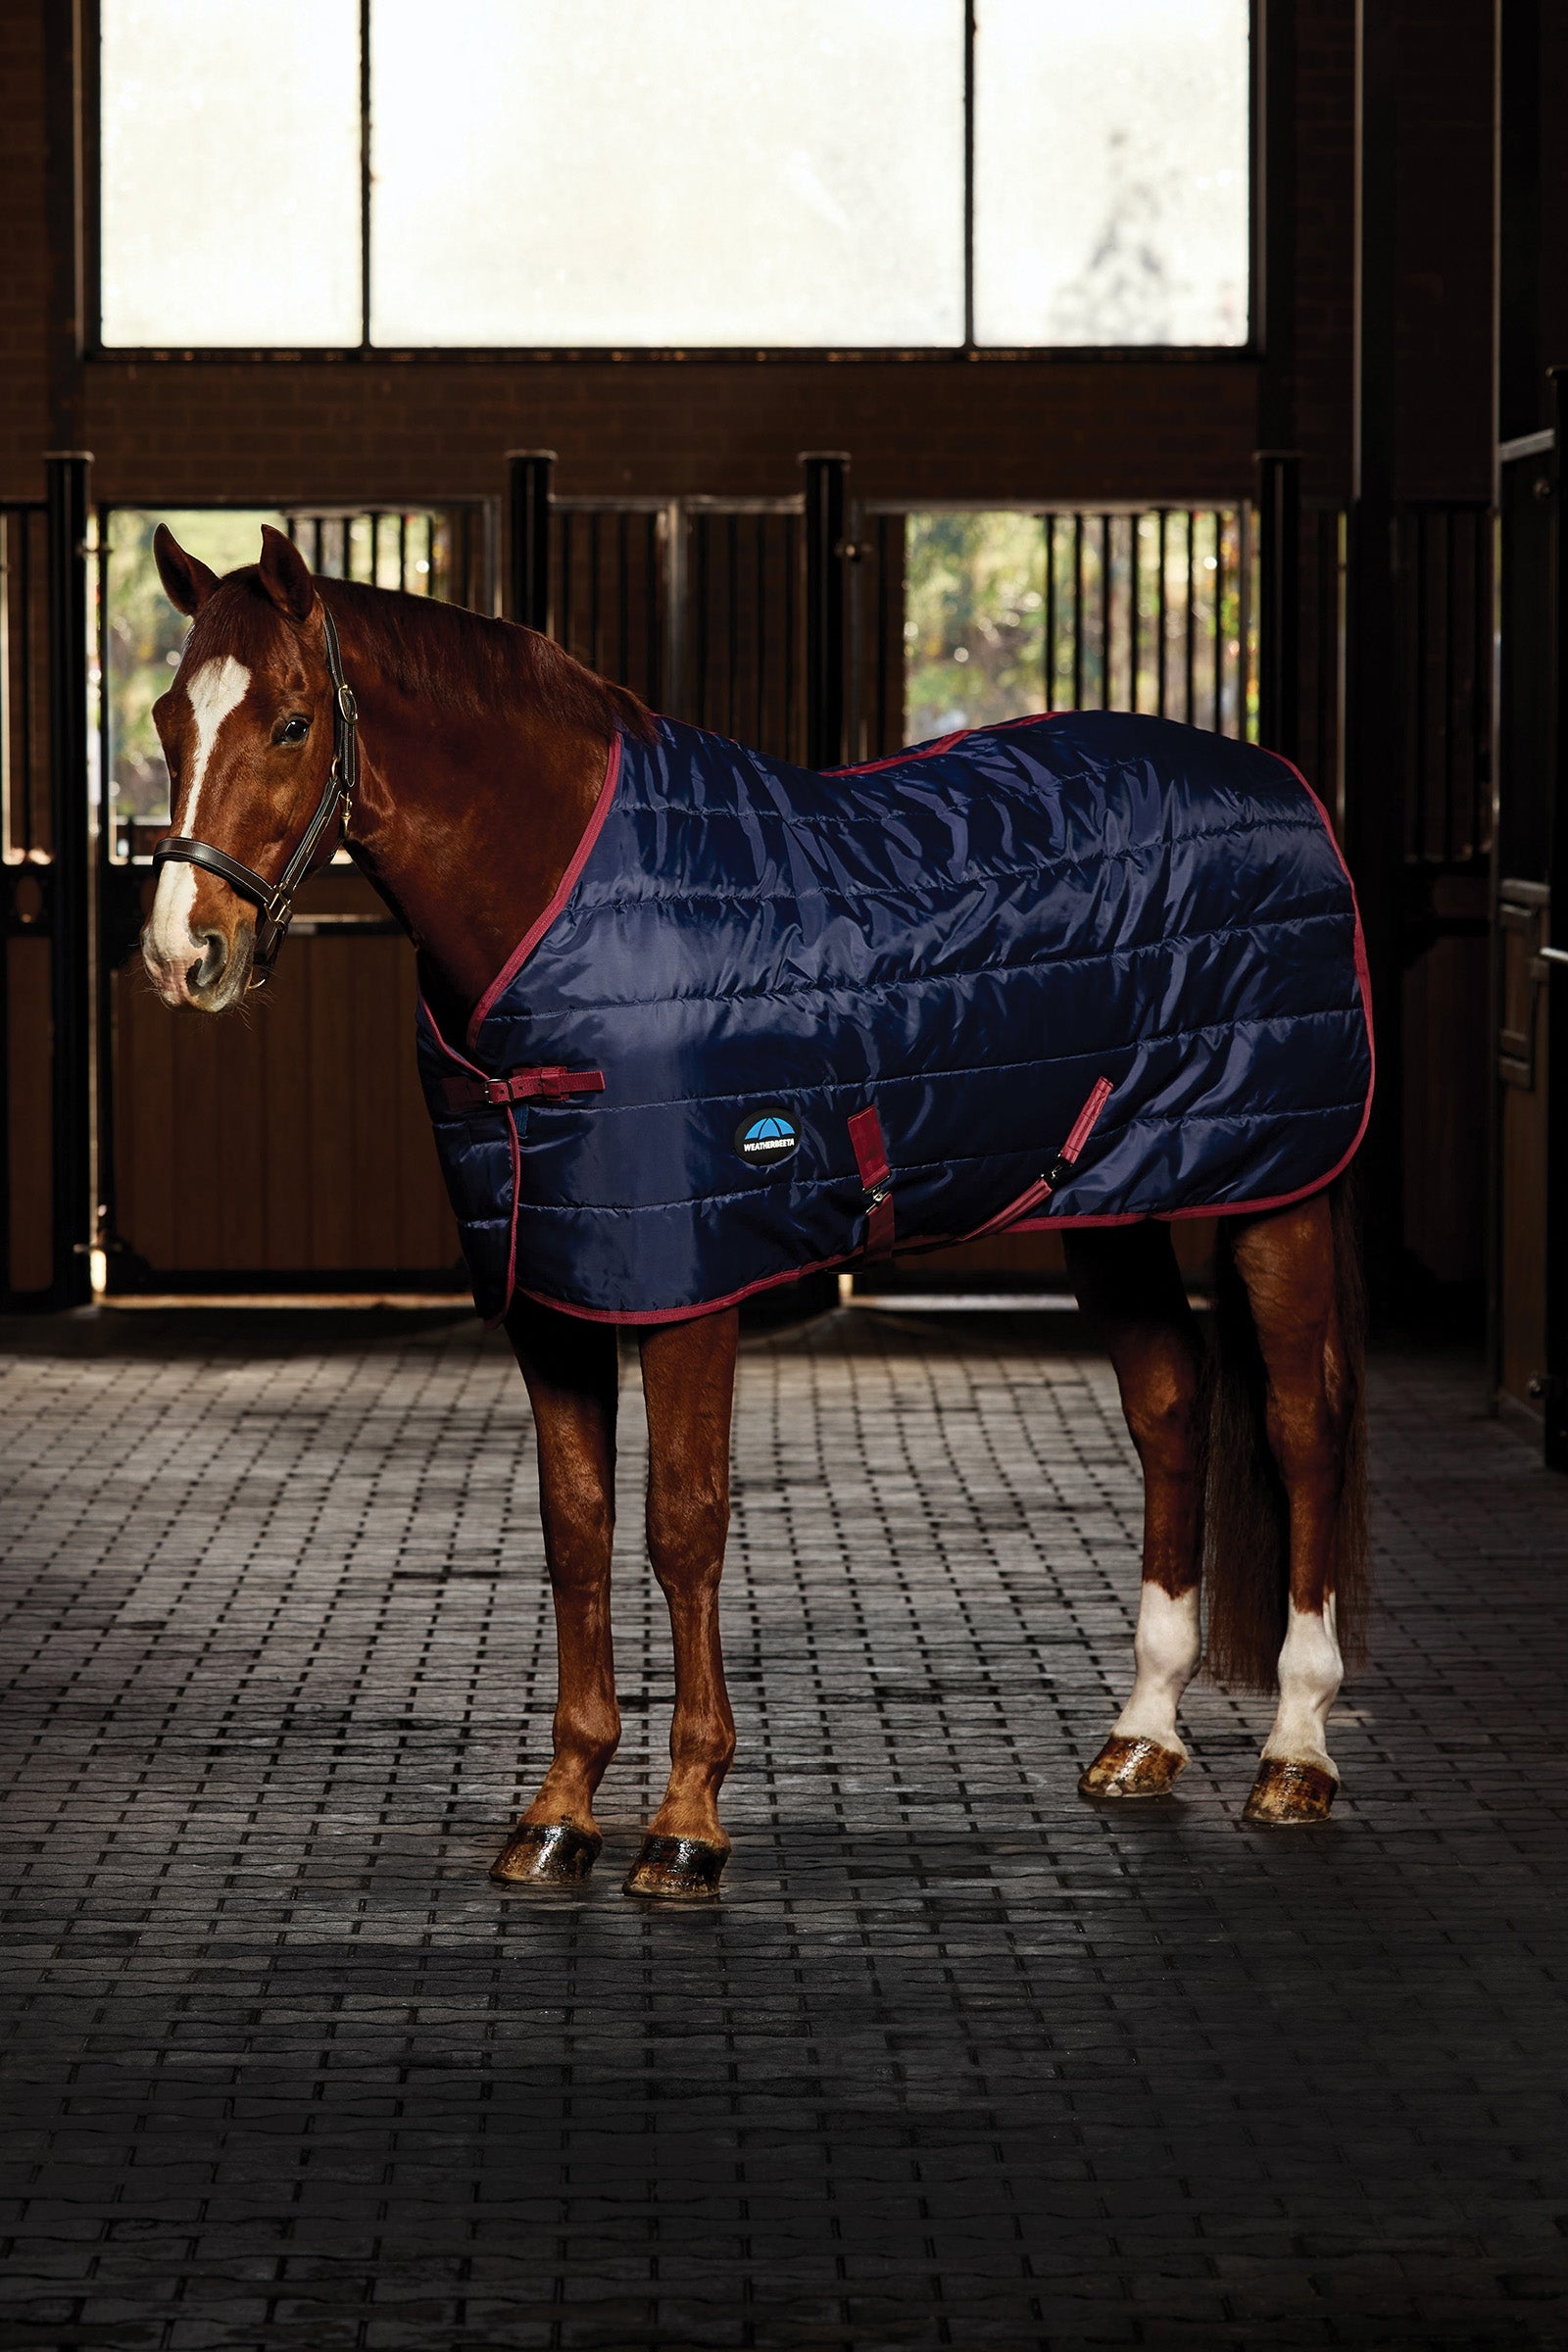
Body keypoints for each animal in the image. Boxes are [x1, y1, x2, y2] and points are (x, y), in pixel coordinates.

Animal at [140, 524, 1371, 1902]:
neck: (567, 910)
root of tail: (1280, 783)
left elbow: (683, 1528)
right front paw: (559, 1810)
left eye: (293, 723)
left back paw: (1296, 1753)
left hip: (1280, 1189)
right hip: (1114, 1199)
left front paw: (685, 1823)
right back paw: (1141, 1737)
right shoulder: (553, 1288)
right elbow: (576, 1530)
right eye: (167, 721)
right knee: (1169, 1405)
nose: (184, 954)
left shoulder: (692, 1283)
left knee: (1301, 1426)